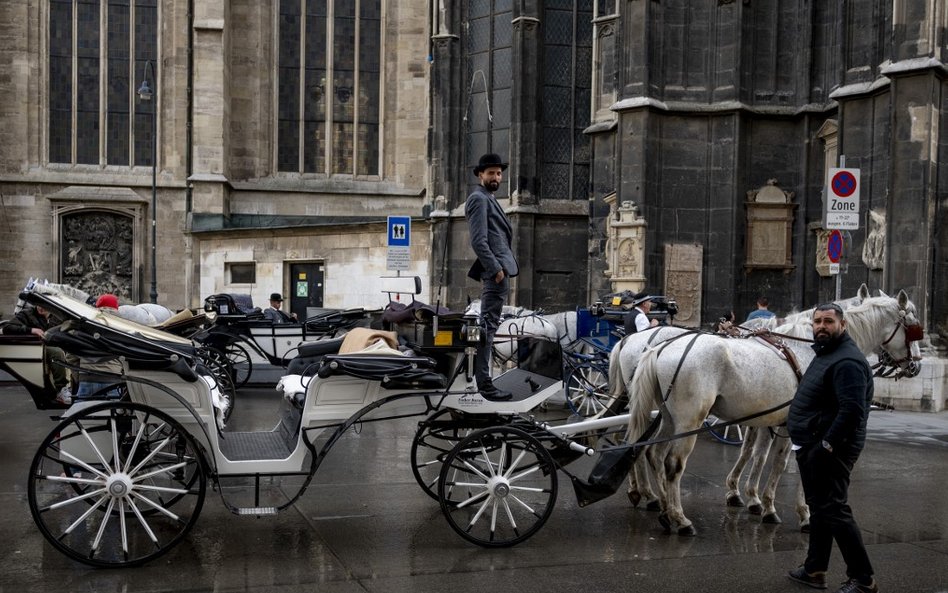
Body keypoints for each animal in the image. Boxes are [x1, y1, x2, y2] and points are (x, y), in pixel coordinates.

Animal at [624, 290, 920, 536]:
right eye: (913, 326)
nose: (915, 365)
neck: (810, 349)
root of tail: (658, 348)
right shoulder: (799, 425)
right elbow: (785, 464)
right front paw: (800, 513)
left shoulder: (771, 420)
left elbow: (761, 456)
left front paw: (759, 502)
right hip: (689, 421)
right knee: (672, 464)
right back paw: (679, 518)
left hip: (669, 417)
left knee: (652, 452)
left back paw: (663, 506)